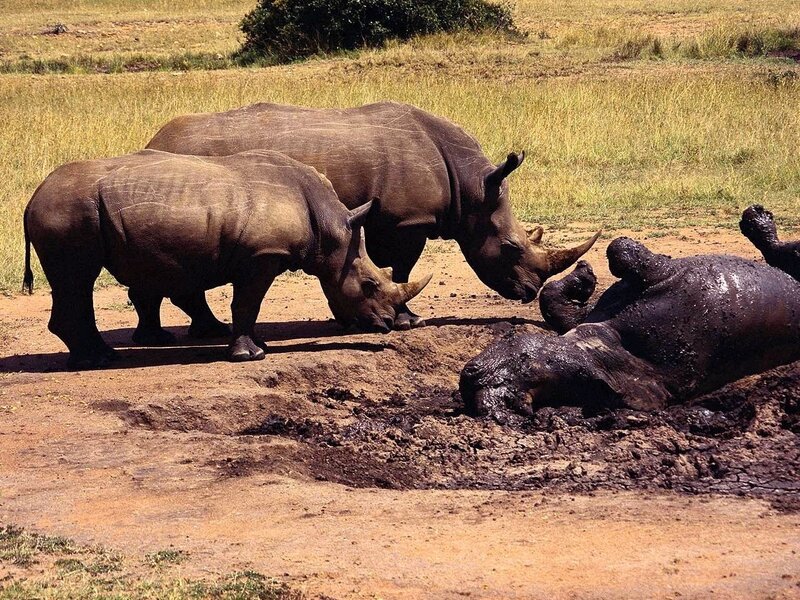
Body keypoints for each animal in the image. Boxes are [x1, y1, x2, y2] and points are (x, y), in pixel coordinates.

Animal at [23, 149, 431, 369]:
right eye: (369, 285)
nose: (388, 324)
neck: (330, 230)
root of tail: (31, 200)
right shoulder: (262, 255)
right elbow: (247, 303)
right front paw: (252, 356)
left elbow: (247, 305)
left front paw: (259, 347)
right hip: (68, 213)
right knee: (77, 278)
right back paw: (98, 362)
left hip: (74, 212)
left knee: (77, 282)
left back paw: (102, 356)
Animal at [146, 101, 600, 330]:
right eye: (510, 248)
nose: (529, 292)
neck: (471, 188)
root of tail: (154, 140)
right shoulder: (409, 220)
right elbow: (402, 268)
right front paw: (408, 320)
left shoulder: (385, 220)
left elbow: (377, 265)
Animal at [460, 236, 800, 420]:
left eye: (525, 360)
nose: (477, 386)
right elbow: (619, 253)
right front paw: (585, 275)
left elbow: (619, 253)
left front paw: (584, 274)